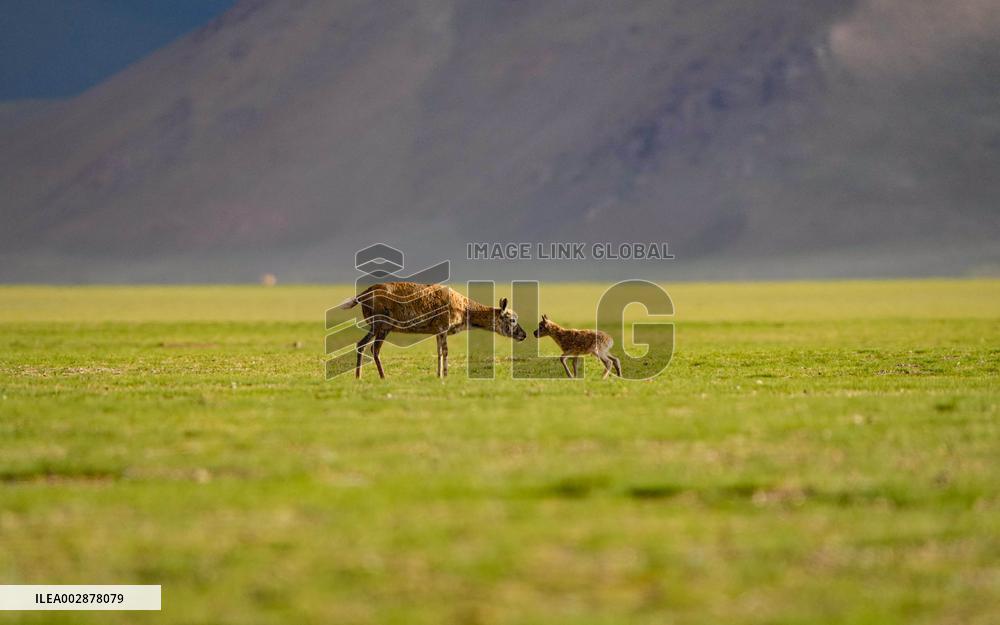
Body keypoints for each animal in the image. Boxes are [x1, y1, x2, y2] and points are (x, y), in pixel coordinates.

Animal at [337, 282, 527, 378]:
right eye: (512, 319)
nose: (523, 335)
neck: (465, 310)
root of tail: (362, 295)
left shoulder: (436, 332)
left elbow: (438, 352)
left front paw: (438, 374)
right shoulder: (443, 329)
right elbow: (445, 351)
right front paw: (445, 375)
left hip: (381, 328)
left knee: (367, 347)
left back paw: (370, 377)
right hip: (379, 326)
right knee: (367, 346)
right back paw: (371, 376)